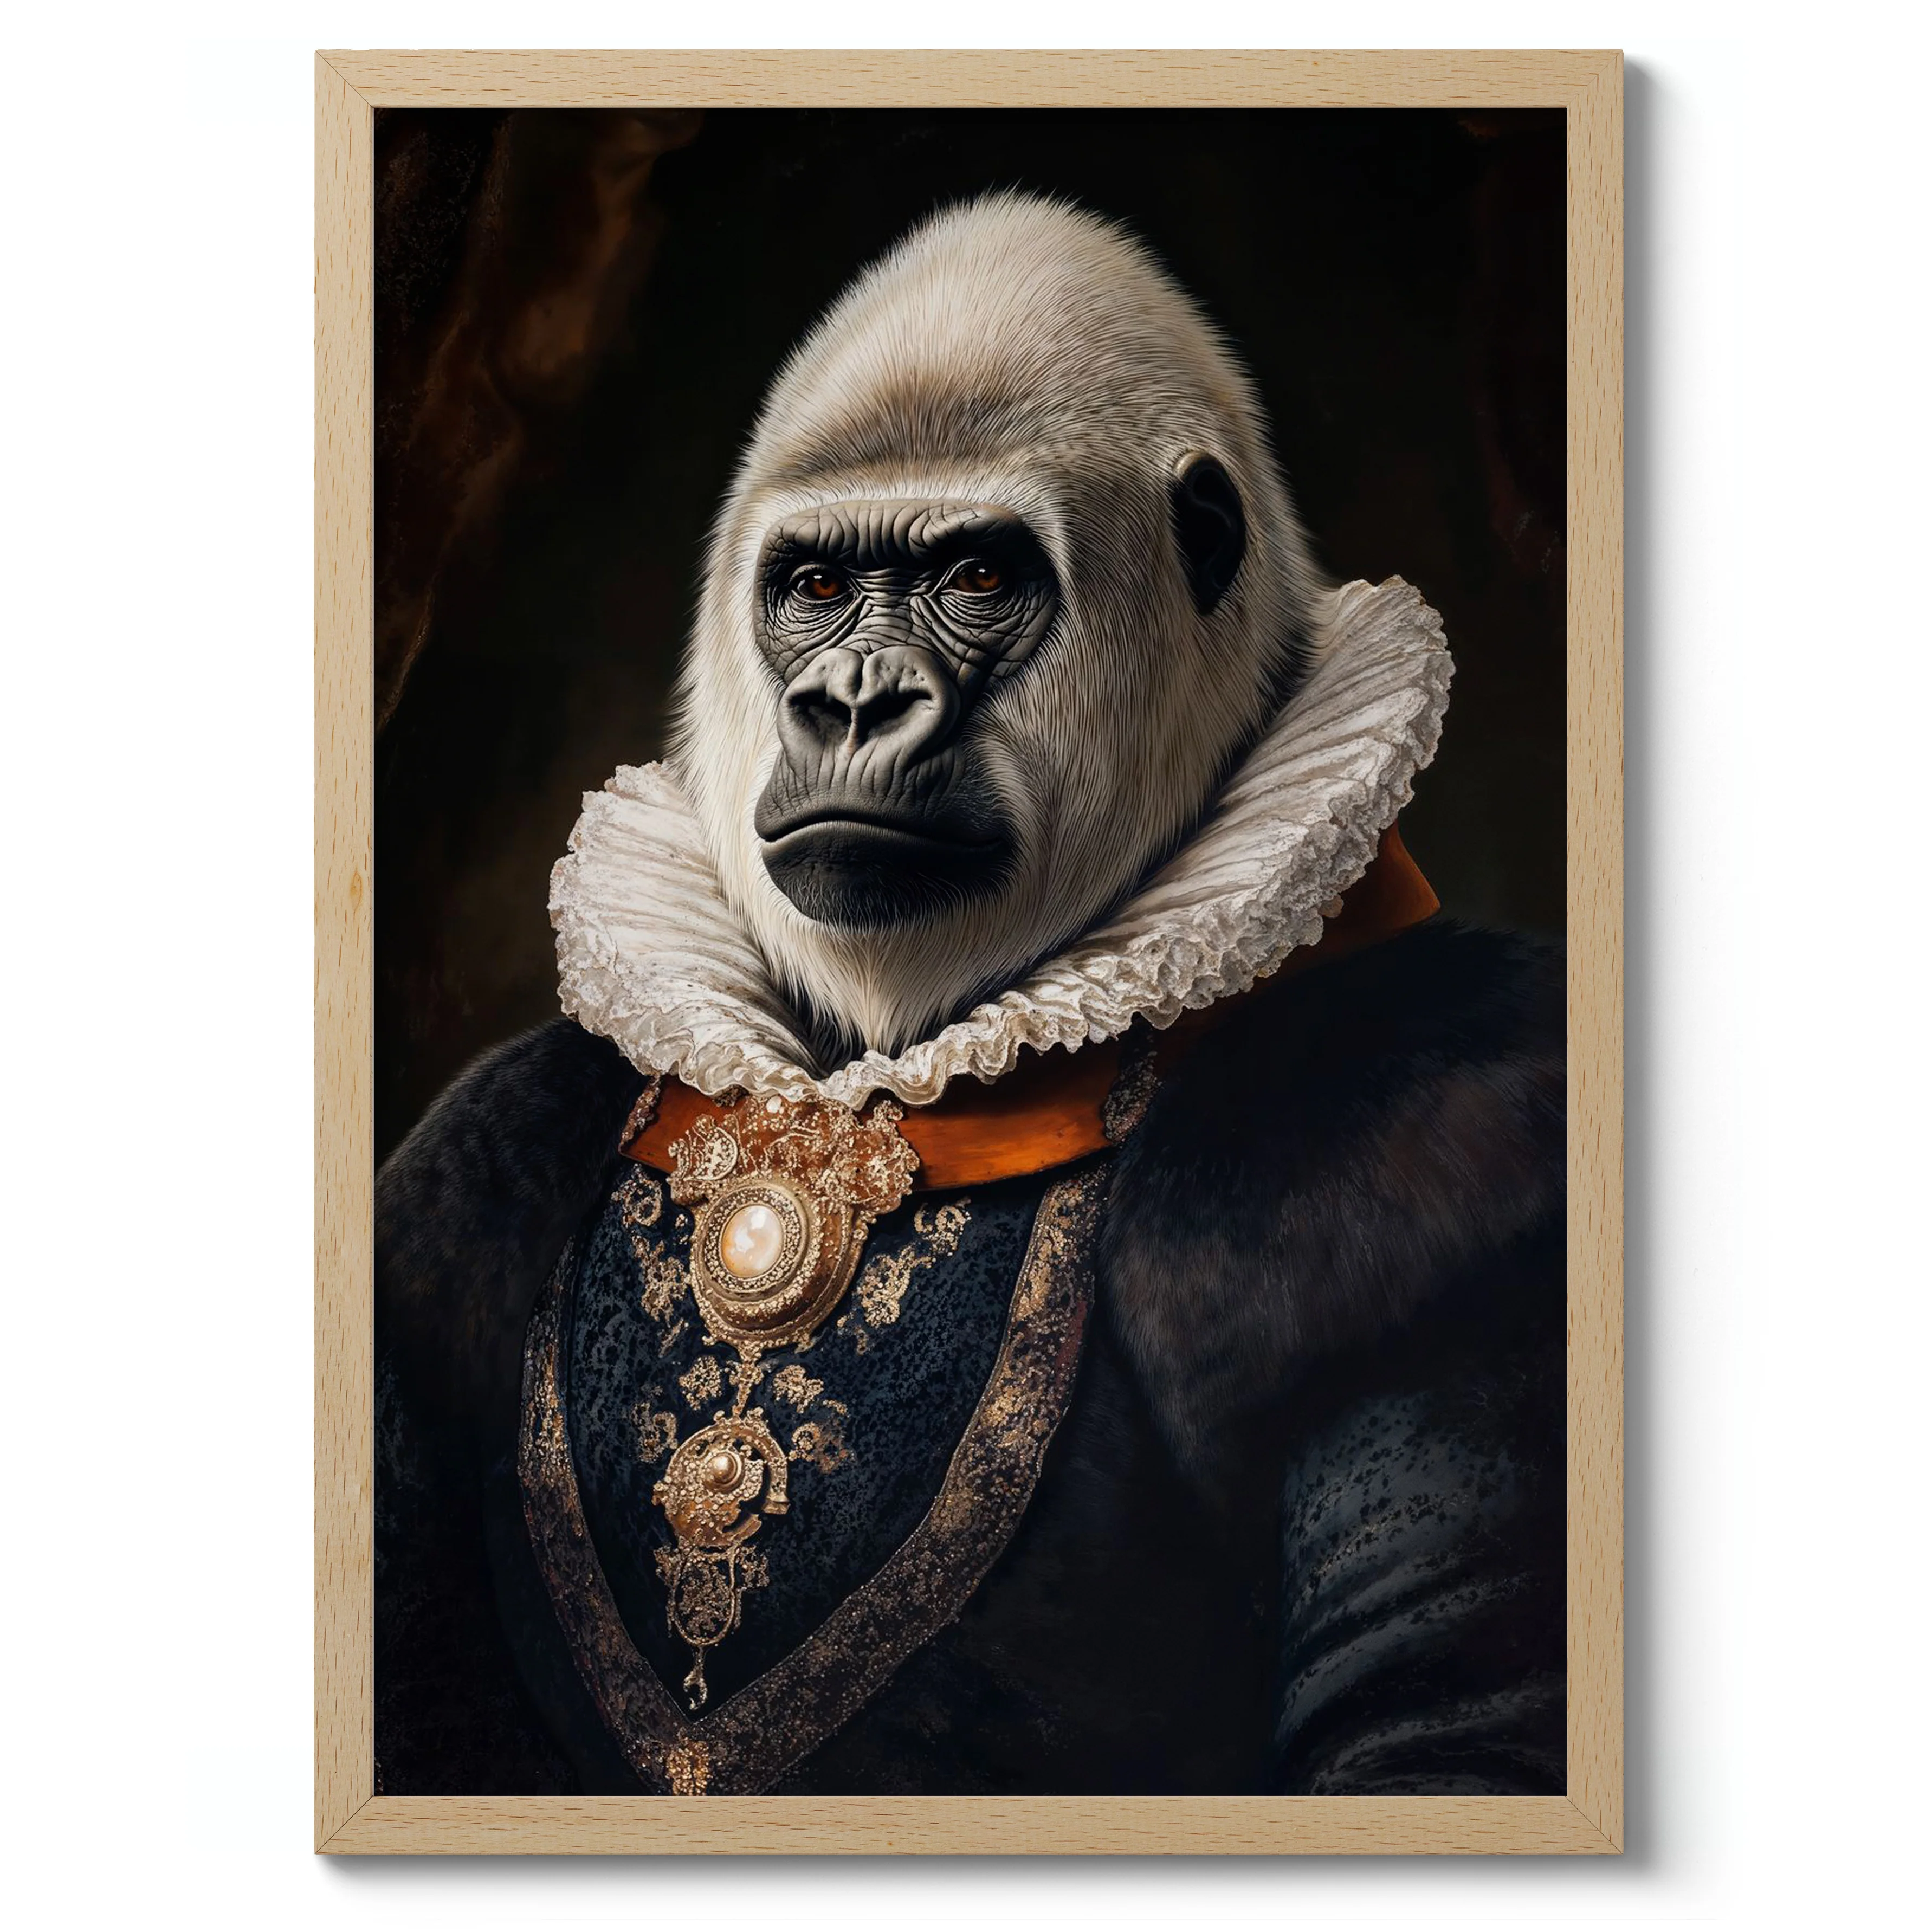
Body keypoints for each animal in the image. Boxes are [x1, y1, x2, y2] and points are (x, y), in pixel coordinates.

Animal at [376, 193, 1567, 1800]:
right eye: (816, 588)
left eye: (978, 579)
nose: (851, 703)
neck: (858, 1088)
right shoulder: (489, 1137)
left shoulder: (1445, 1121)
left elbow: (1444, 1723)